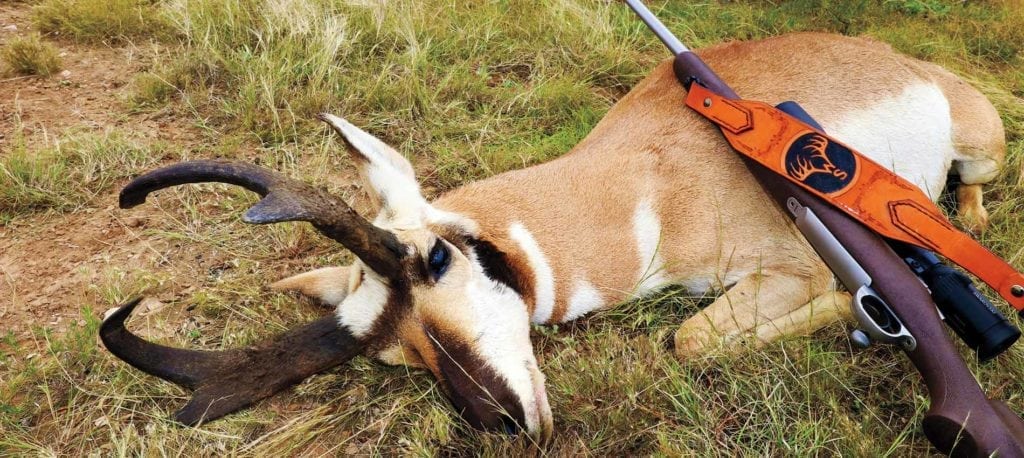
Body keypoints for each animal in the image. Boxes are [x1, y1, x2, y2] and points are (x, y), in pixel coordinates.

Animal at [101, 32, 999, 440]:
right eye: (394, 357)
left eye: (438, 256)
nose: (497, 421)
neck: (638, 182)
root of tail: (901, 59)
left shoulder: (793, 267)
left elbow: (688, 341)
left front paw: (867, 317)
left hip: (982, 146)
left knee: (974, 191)